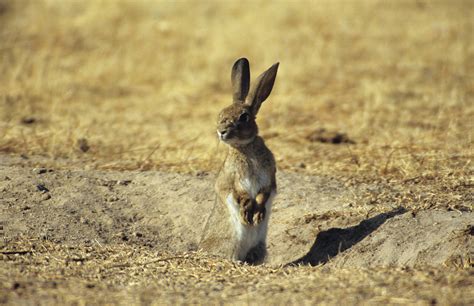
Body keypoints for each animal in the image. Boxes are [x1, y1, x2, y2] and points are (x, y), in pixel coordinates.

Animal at [215, 58, 278, 266]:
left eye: (244, 117)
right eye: (221, 114)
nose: (221, 132)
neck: (245, 147)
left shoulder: (269, 179)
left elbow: (263, 194)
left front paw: (258, 216)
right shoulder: (230, 180)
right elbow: (238, 193)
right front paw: (247, 214)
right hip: (232, 244)